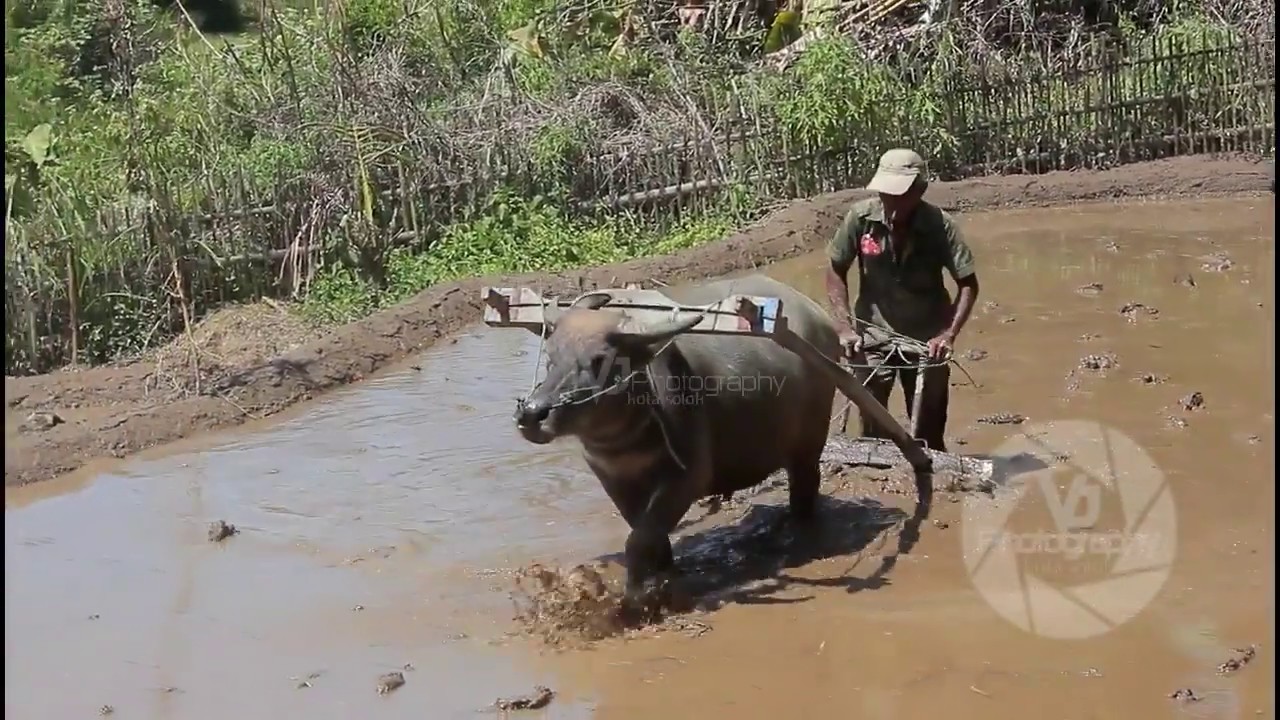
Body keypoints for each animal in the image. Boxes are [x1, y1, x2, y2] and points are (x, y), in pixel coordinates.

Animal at [509, 274, 839, 599]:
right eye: (550, 357)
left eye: (601, 360)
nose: (532, 414)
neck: (624, 440)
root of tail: (819, 317)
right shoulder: (614, 481)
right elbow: (649, 534)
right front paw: (662, 576)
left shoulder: (688, 477)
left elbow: (639, 540)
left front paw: (636, 596)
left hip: (809, 445)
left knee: (805, 485)